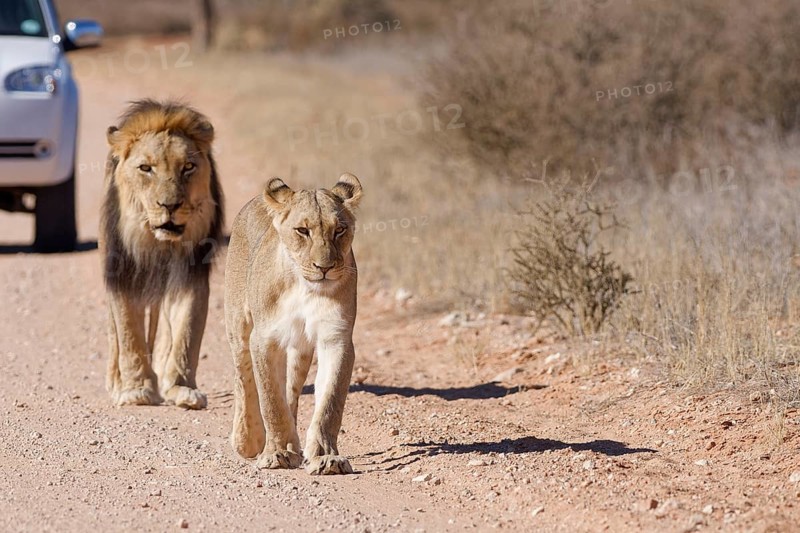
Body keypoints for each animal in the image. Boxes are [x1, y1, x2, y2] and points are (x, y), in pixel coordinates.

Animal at [100, 99, 224, 410]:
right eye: (146, 168)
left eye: (188, 167)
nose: (170, 205)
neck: (161, 246)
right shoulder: (123, 275)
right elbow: (129, 334)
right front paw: (136, 390)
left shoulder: (191, 277)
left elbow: (186, 335)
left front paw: (182, 389)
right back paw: (116, 381)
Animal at [225, 173, 362, 475]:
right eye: (302, 231)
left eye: (339, 230)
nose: (324, 267)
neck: (304, 287)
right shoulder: (264, 339)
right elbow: (270, 400)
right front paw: (276, 453)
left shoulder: (335, 337)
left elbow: (330, 402)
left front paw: (325, 457)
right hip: (238, 326)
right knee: (243, 377)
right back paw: (248, 439)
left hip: (301, 349)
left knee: (291, 391)